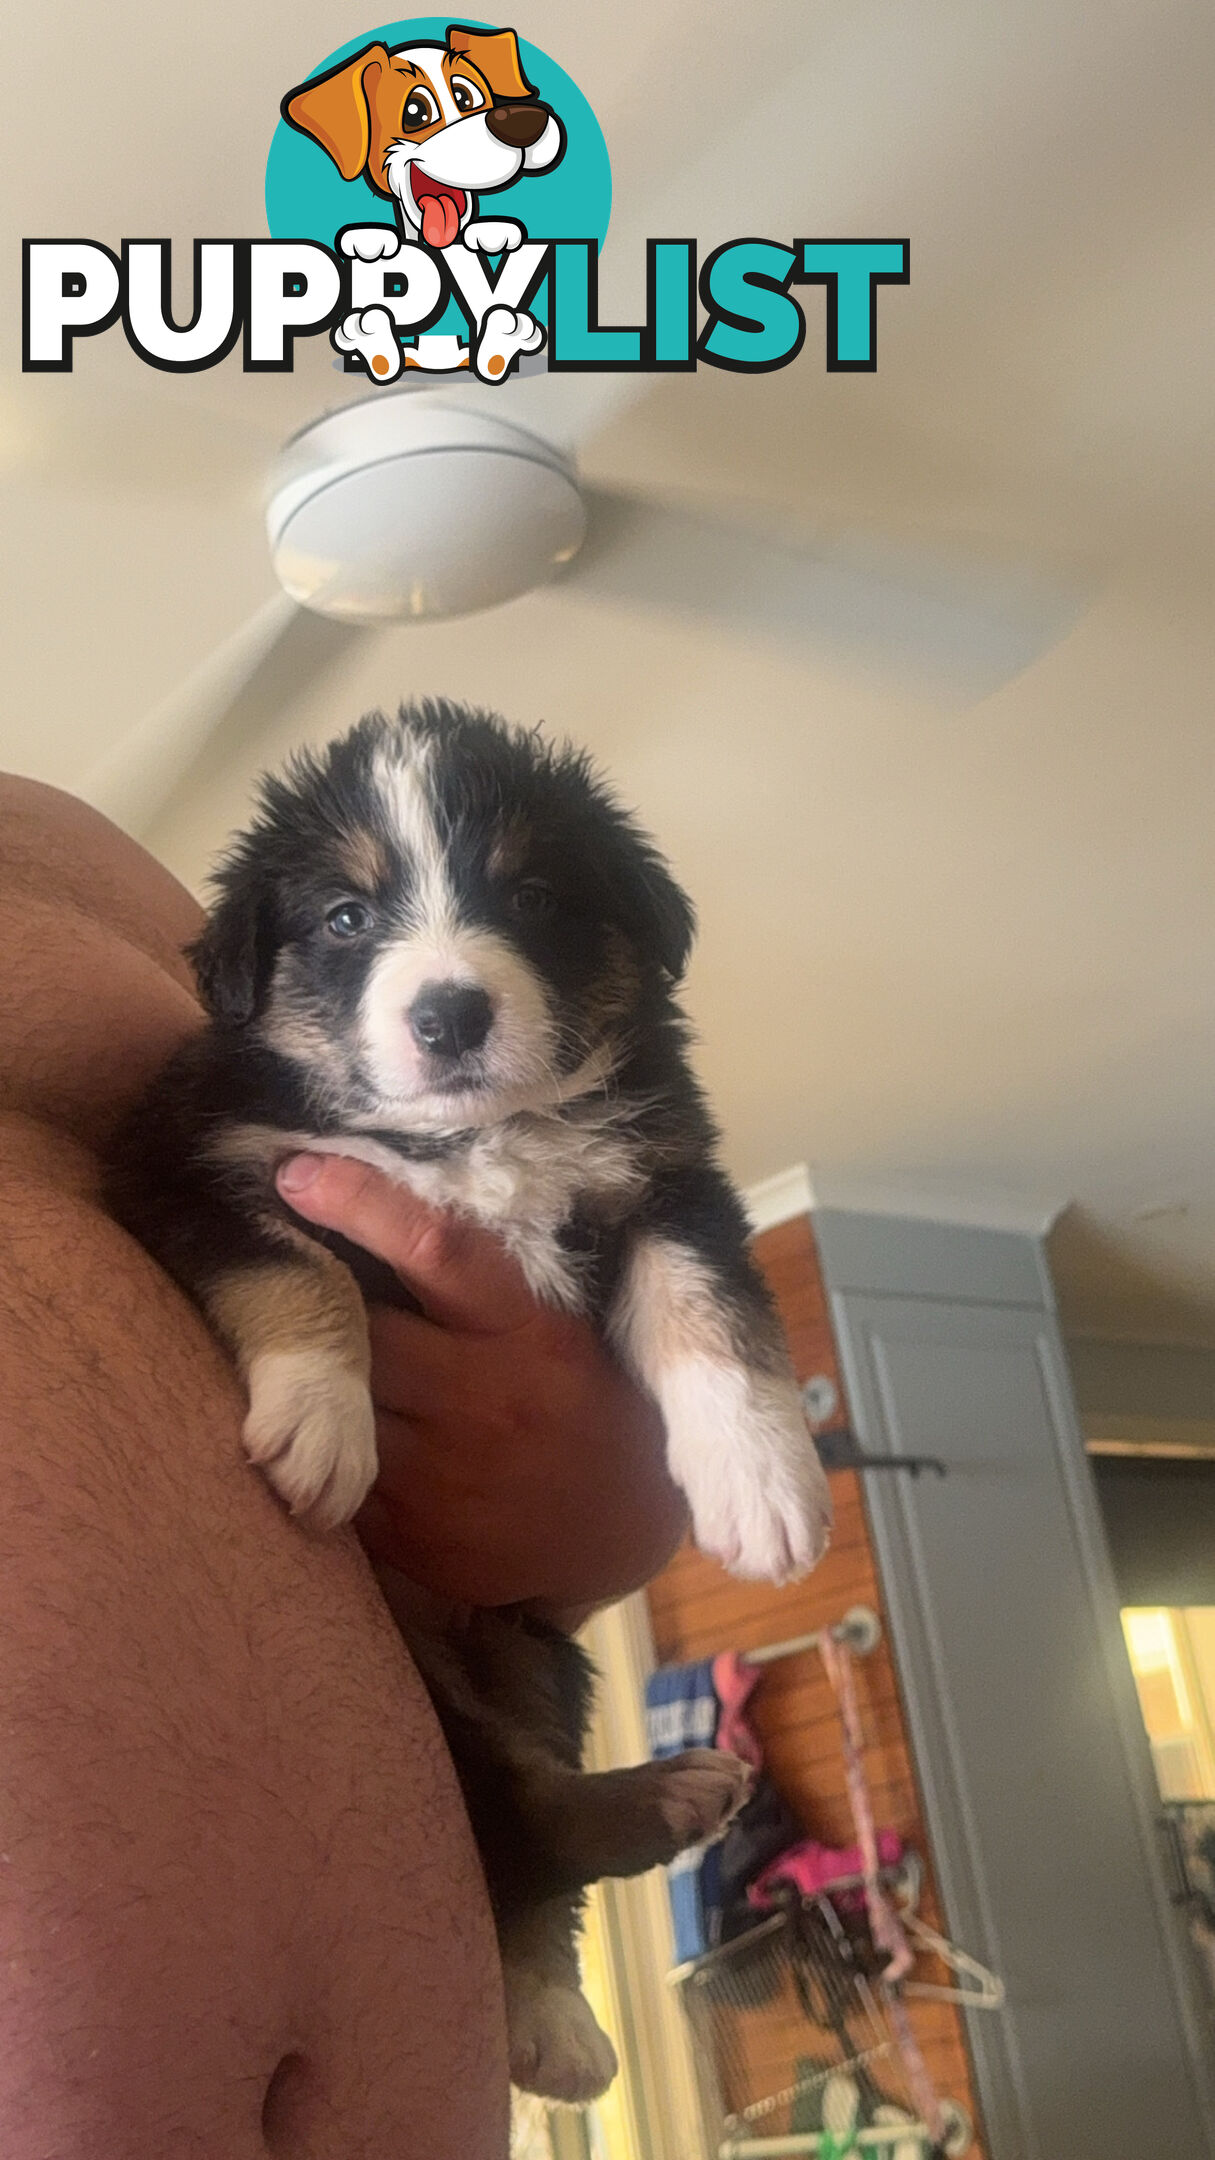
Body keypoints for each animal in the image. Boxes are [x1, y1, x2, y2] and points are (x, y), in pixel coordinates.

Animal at [108, 699, 825, 2099]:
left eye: (534, 895)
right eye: (345, 916)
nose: (449, 1012)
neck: (471, 1141)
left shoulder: (664, 1181)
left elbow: (713, 1314)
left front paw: (765, 1486)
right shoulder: (193, 1161)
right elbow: (300, 1267)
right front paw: (323, 1424)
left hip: (538, 1659)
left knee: (536, 1840)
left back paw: (573, 1969)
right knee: (519, 1823)